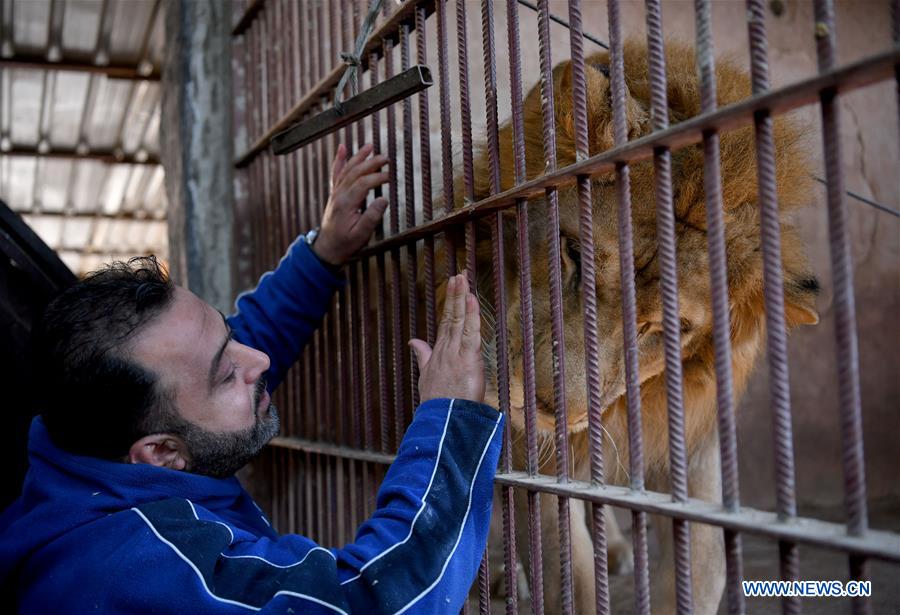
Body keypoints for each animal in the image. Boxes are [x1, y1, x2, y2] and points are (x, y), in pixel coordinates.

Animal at [436, 41, 824, 612]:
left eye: (667, 327)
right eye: (574, 253)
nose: (547, 405)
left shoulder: (693, 431)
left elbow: (704, 560)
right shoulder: (534, 455)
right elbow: (564, 565)